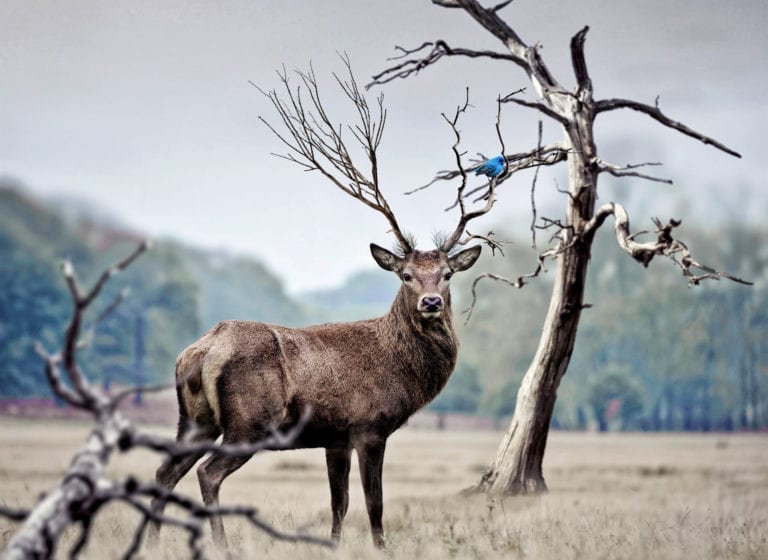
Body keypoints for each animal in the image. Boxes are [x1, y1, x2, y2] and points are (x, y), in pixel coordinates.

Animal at [148, 59, 501, 549]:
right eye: (406, 275)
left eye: (448, 274)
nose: (431, 302)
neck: (400, 368)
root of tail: (201, 350)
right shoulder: (369, 425)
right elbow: (374, 503)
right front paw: (381, 548)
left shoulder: (335, 436)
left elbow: (340, 503)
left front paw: (334, 545)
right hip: (249, 422)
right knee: (207, 473)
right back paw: (220, 544)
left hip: (195, 418)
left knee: (165, 471)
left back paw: (151, 543)